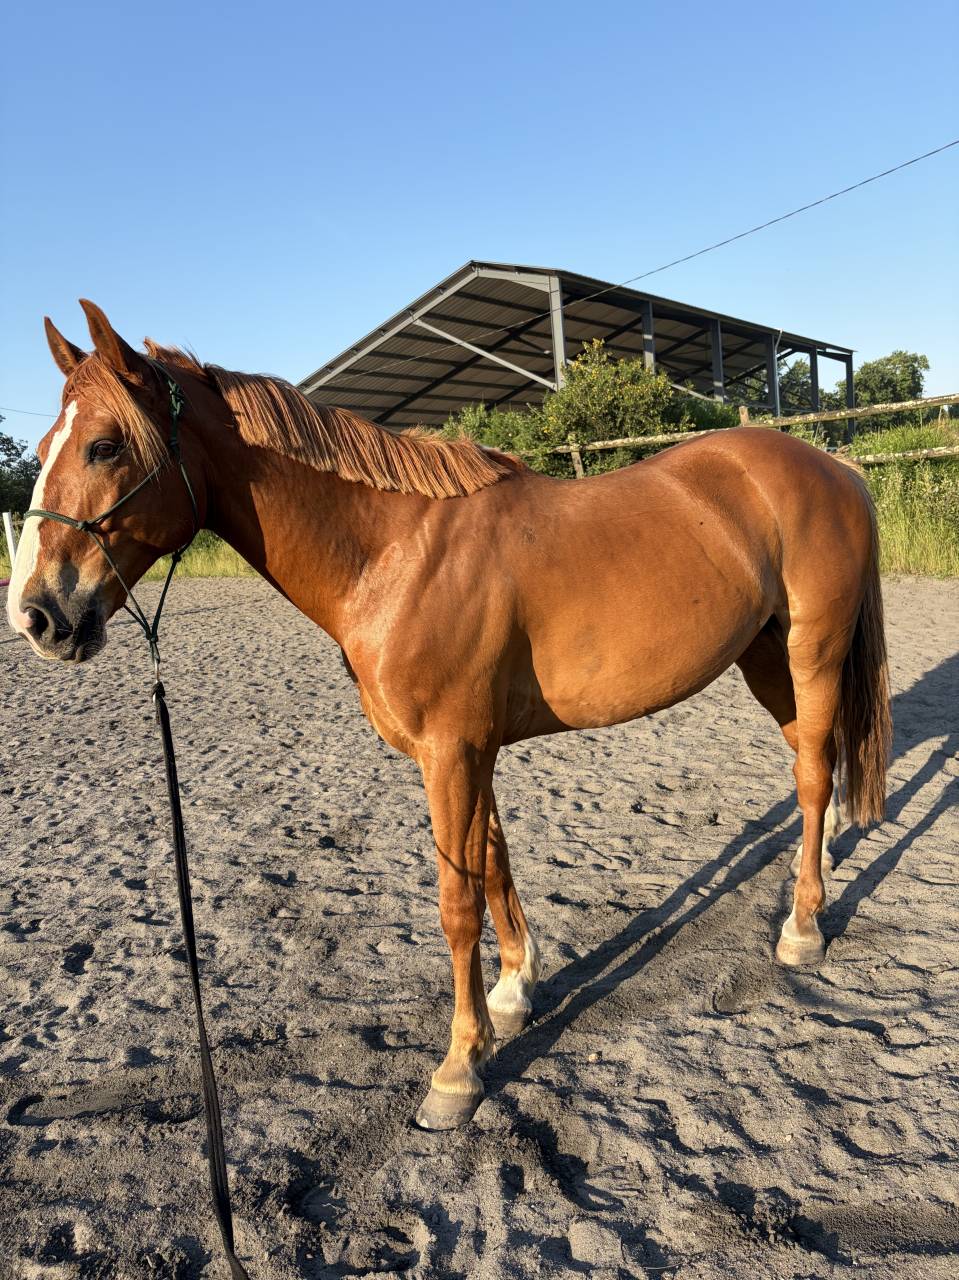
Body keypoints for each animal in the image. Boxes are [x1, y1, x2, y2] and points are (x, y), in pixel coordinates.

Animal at [8, 300, 891, 1130]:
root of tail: (833, 466)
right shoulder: (473, 749)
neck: (394, 553)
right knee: (812, 765)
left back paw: (802, 927)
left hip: (811, 654)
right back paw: (812, 879)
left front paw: (458, 1071)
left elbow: (455, 903)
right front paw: (513, 992)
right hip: (765, 660)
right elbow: (493, 863)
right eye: (47, 445)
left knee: (812, 774)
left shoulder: (451, 752)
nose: (38, 616)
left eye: (105, 447)